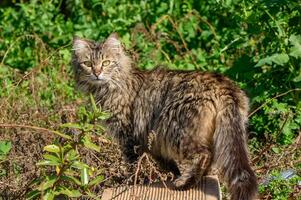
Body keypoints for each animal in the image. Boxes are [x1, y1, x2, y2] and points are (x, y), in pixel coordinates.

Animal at [71, 33, 256, 199]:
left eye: (106, 63)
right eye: (88, 64)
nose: (97, 73)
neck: (106, 88)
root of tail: (223, 84)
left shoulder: (128, 136)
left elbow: (132, 165)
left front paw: (130, 183)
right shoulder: (151, 141)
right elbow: (167, 164)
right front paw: (172, 174)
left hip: (176, 130)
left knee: (204, 155)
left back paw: (186, 183)